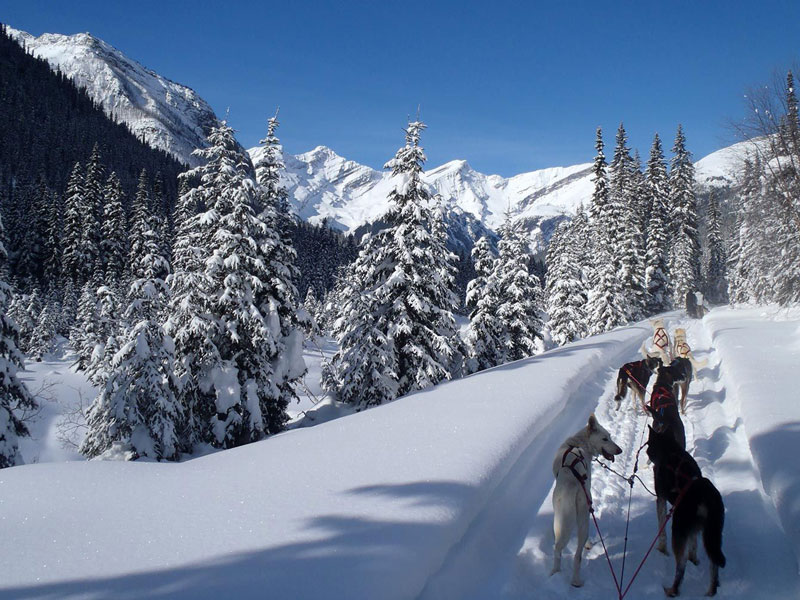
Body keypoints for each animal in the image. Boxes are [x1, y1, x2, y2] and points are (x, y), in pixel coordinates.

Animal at [552, 414, 620, 588]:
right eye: (605, 438)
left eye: (610, 436)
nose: (620, 450)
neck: (578, 444)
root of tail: (573, 486)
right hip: (583, 516)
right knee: (576, 554)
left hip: (564, 521)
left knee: (560, 550)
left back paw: (557, 574)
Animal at [644, 424, 724, 596]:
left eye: (648, 445)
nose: (647, 452)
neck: (669, 450)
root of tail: (705, 496)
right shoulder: (693, 528)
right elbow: (693, 545)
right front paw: (693, 559)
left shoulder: (660, 499)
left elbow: (662, 532)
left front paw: (661, 550)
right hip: (713, 534)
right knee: (714, 565)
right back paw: (711, 592)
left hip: (679, 527)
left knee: (680, 567)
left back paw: (672, 591)